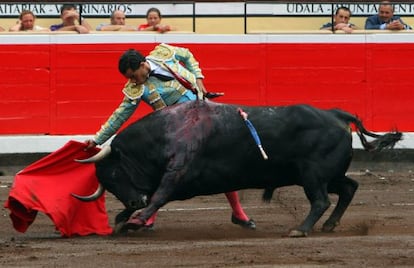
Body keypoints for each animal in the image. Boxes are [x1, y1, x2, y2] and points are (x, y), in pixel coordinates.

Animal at [74, 100, 402, 237]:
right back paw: (330, 225)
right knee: (349, 188)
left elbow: (158, 197)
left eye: (114, 173)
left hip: (313, 175)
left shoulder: (177, 172)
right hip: (326, 175)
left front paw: (133, 221)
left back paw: (300, 229)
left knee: (321, 200)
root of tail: (336, 115)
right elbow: (153, 198)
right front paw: (124, 219)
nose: (132, 201)